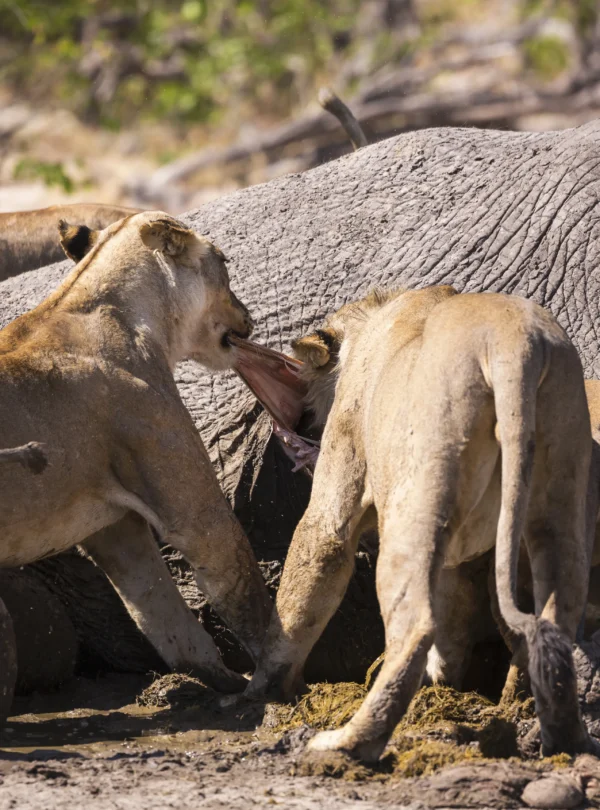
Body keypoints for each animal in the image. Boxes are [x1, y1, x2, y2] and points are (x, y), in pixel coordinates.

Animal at [0, 210, 272, 694]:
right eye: (223, 260)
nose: (248, 316)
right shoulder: (195, 513)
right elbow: (243, 592)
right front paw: (278, 674)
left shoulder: (115, 529)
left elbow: (161, 613)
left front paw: (221, 679)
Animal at [237, 285, 592, 760]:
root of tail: (513, 343)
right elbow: (455, 606)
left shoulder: (339, 482)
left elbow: (306, 581)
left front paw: (261, 688)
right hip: (558, 496)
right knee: (555, 616)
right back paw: (559, 735)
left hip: (414, 501)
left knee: (415, 626)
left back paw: (348, 742)